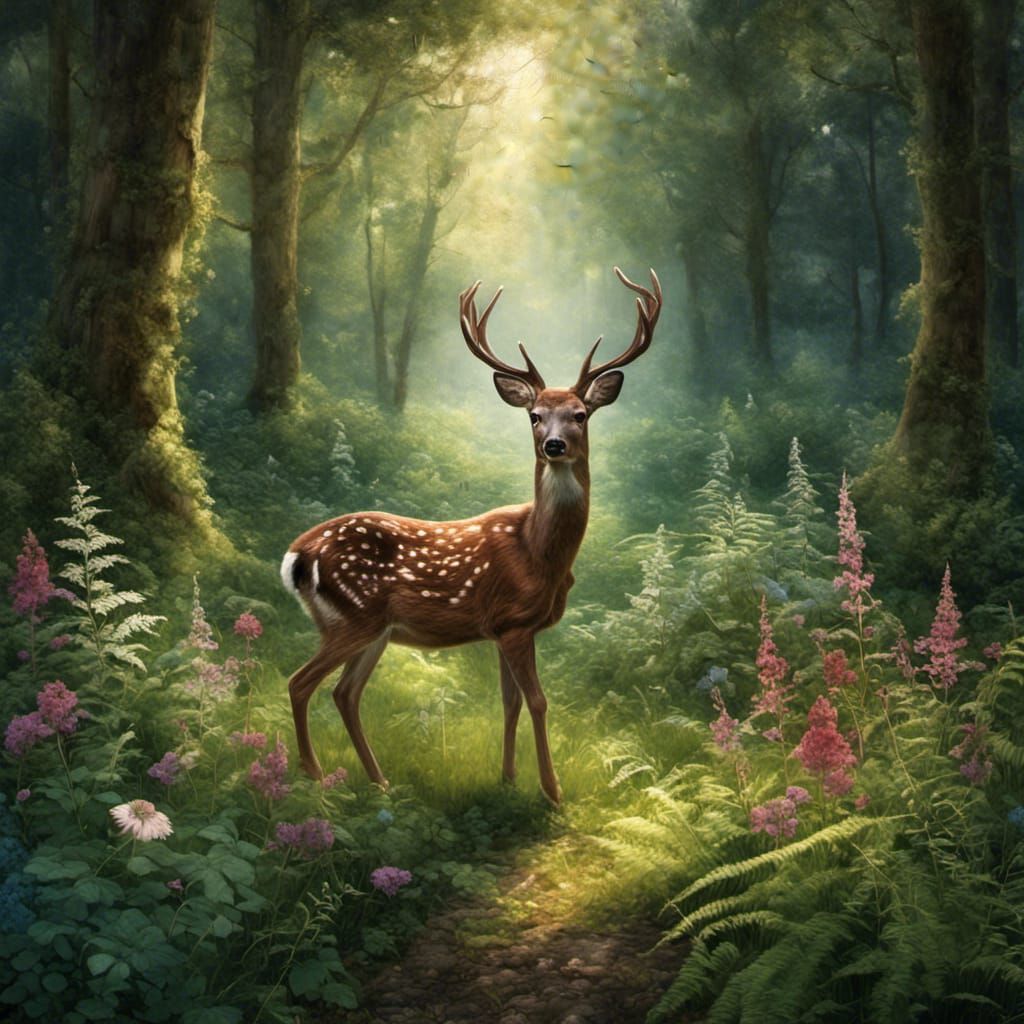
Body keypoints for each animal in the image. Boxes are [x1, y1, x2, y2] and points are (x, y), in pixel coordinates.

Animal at [280, 266, 662, 804]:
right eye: (534, 415)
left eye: (580, 415)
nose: (554, 445)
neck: (540, 553)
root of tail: (297, 555)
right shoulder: (514, 622)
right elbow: (539, 702)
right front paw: (552, 790)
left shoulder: (506, 628)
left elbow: (510, 703)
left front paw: (508, 779)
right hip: (352, 618)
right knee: (300, 683)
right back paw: (315, 776)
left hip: (373, 629)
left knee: (344, 692)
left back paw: (380, 782)